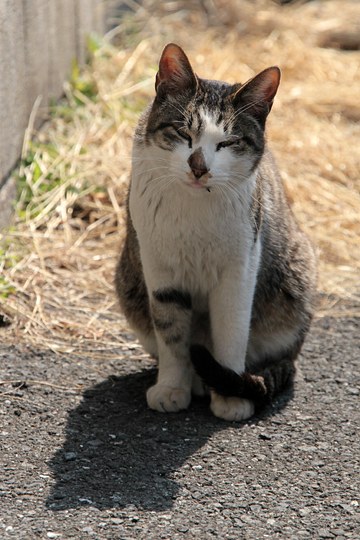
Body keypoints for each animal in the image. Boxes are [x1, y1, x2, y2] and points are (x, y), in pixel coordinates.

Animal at [114, 42, 316, 422]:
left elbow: (231, 332)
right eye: (183, 132)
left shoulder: (240, 268)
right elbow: (172, 336)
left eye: (228, 143)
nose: (199, 166)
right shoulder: (159, 267)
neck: (195, 208)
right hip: (128, 281)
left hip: (298, 276)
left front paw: (230, 396)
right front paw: (172, 387)